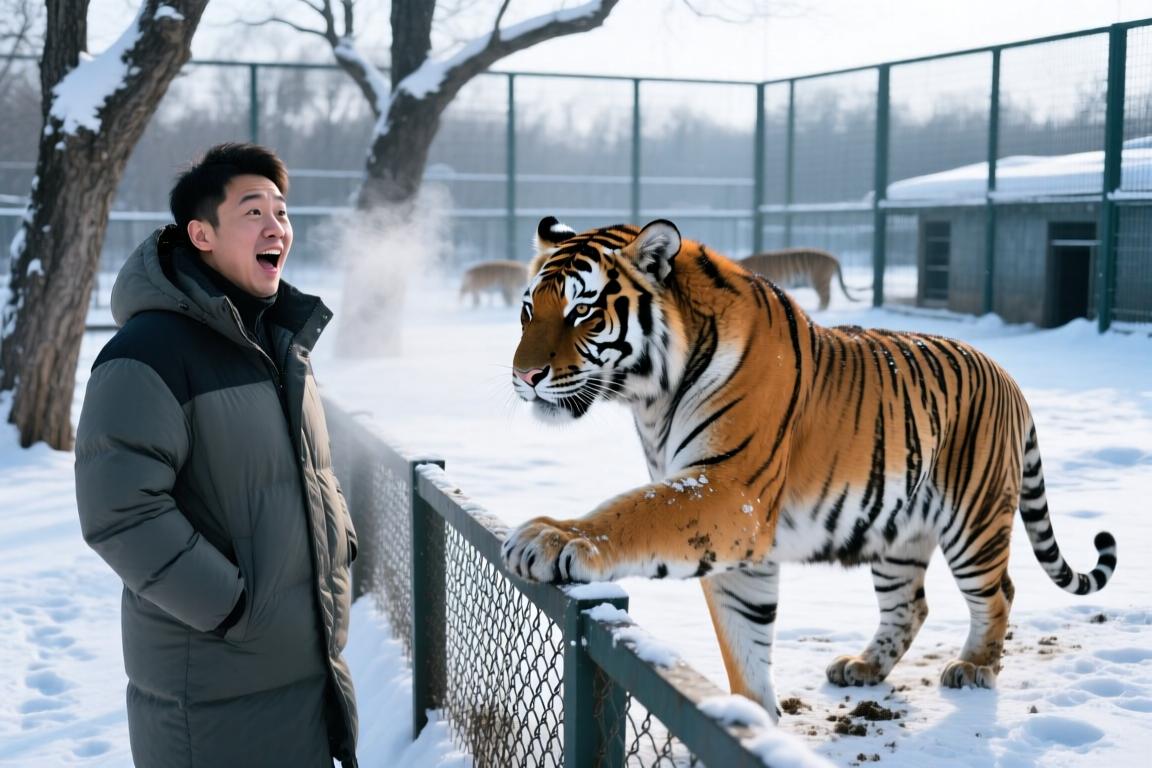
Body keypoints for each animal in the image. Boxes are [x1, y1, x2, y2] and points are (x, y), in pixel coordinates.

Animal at [501, 216, 1117, 721]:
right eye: (529, 310)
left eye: (582, 310)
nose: (524, 376)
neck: (651, 398)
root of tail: (1008, 376)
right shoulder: (736, 536)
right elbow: (744, 638)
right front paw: (750, 720)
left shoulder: (729, 489)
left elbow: (636, 510)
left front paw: (554, 537)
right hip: (898, 534)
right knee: (910, 605)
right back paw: (864, 667)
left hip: (974, 521)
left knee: (999, 593)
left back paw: (975, 667)